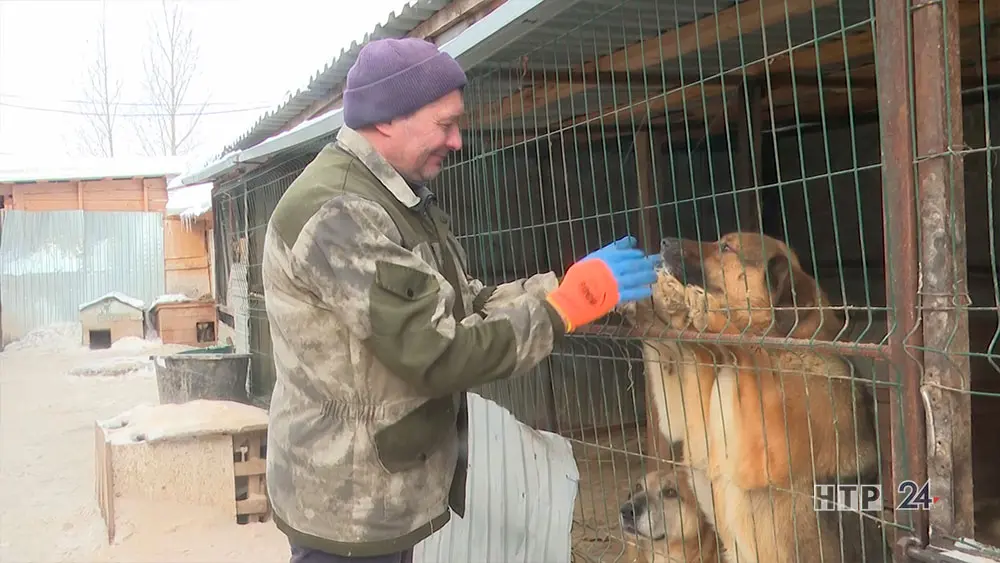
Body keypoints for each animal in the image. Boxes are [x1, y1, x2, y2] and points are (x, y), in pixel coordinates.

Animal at [624, 234, 892, 563]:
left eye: (726, 247)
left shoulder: (765, 450)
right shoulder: (695, 429)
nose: (664, 241)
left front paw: (707, 309)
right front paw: (651, 304)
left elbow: (746, 346)